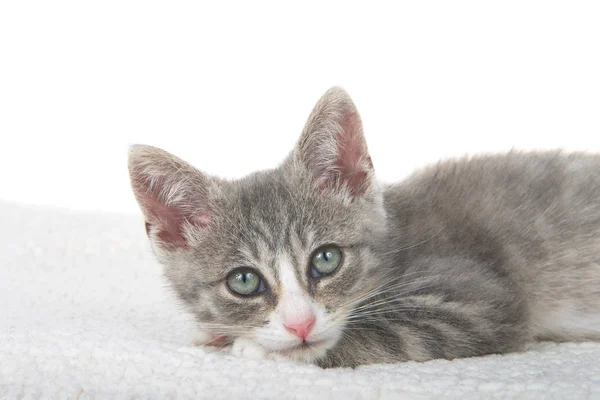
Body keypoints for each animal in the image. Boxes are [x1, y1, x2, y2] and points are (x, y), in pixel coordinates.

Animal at [129, 88, 600, 368]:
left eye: (327, 259)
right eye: (243, 281)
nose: (300, 325)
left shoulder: (480, 301)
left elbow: (387, 335)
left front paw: (256, 349)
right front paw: (215, 333)